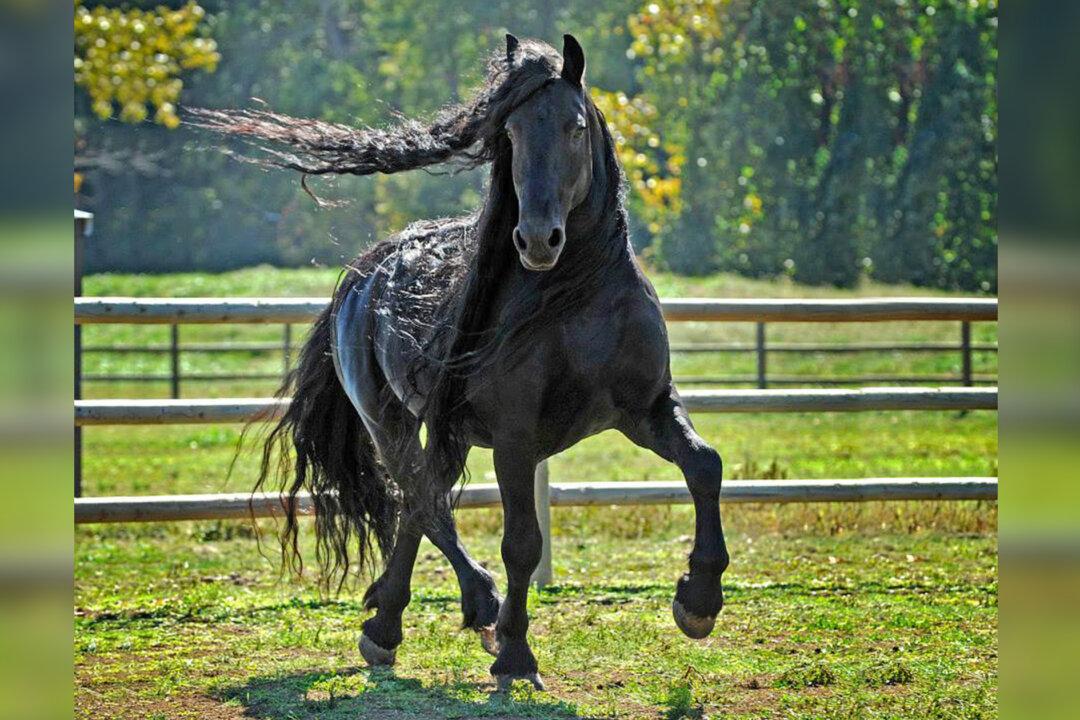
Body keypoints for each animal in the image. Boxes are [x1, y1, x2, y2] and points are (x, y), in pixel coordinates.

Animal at [193, 34, 730, 691]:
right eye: (511, 133)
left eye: (575, 127)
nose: (537, 240)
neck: (576, 299)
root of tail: (365, 273)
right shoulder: (516, 438)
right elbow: (521, 542)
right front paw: (517, 655)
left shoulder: (646, 409)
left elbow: (704, 465)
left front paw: (697, 601)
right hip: (390, 422)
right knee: (422, 501)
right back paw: (458, 613)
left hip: (448, 431)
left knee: (419, 505)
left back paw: (396, 620)